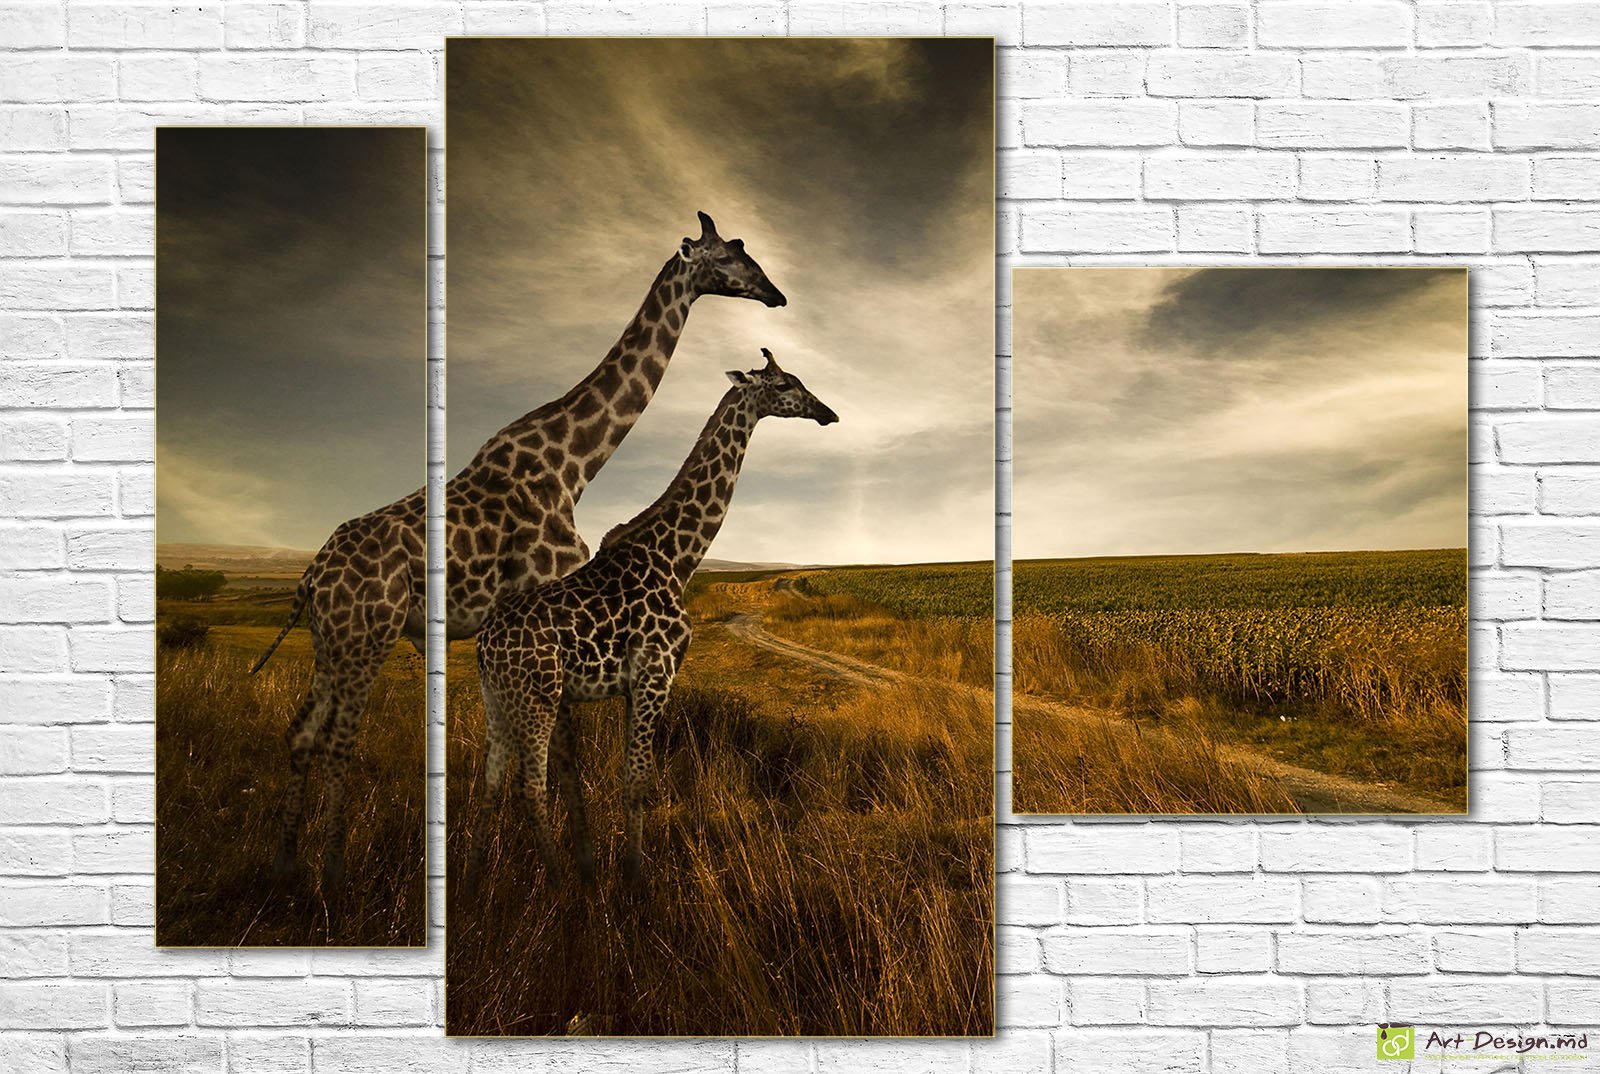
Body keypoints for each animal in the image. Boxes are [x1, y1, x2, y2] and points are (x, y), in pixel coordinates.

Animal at [254, 212, 786, 890]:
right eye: (729, 255)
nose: (776, 294)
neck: (573, 463)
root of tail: (310, 578)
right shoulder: (548, 604)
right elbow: (565, 755)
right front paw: (579, 868)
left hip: (331, 641)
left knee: (302, 734)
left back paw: (283, 867)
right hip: (366, 638)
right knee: (339, 741)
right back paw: (333, 876)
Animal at [466, 348, 837, 891]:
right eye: (786, 383)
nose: (828, 413)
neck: (679, 557)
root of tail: (484, 645)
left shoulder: (634, 683)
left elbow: (633, 778)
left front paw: (629, 873)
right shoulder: (656, 673)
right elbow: (638, 783)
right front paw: (635, 883)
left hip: (497, 698)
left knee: (491, 784)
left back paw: (473, 884)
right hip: (538, 696)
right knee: (529, 787)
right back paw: (560, 885)